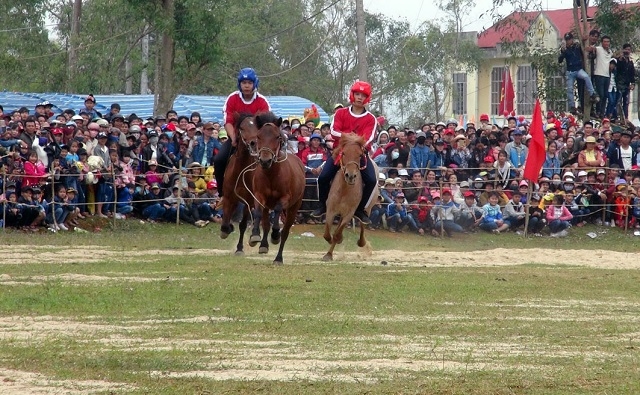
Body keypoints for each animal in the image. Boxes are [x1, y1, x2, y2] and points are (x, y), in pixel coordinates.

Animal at [220, 113, 260, 255]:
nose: (254, 143)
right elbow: (225, 223)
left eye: (257, 127)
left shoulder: (249, 200)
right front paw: (228, 228)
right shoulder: (228, 197)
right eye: (242, 128)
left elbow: (243, 225)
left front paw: (239, 248)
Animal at [248, 111, 304, 266]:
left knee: (285, 232)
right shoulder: (259, 195)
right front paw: (255, 236)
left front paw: (275, 235)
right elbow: (258, 213)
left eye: (277, 136)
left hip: (294, 207)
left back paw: (278, 257)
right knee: (266, 223)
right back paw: (263, 245)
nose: (265, 160)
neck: (271, 174)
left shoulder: (285, 198)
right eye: (258, 136)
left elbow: (278, 210)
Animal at [322, 134, 378, 262]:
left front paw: (339, 239)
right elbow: (327, 233)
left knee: (363, 224)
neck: (344, 189)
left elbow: (337, 233)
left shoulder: (349, 213)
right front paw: (329, 250)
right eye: (343, 153)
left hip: (368, 208)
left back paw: (362, 242)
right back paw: (329, 253)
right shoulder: (331, 209)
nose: (351, 176)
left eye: (360, 155)